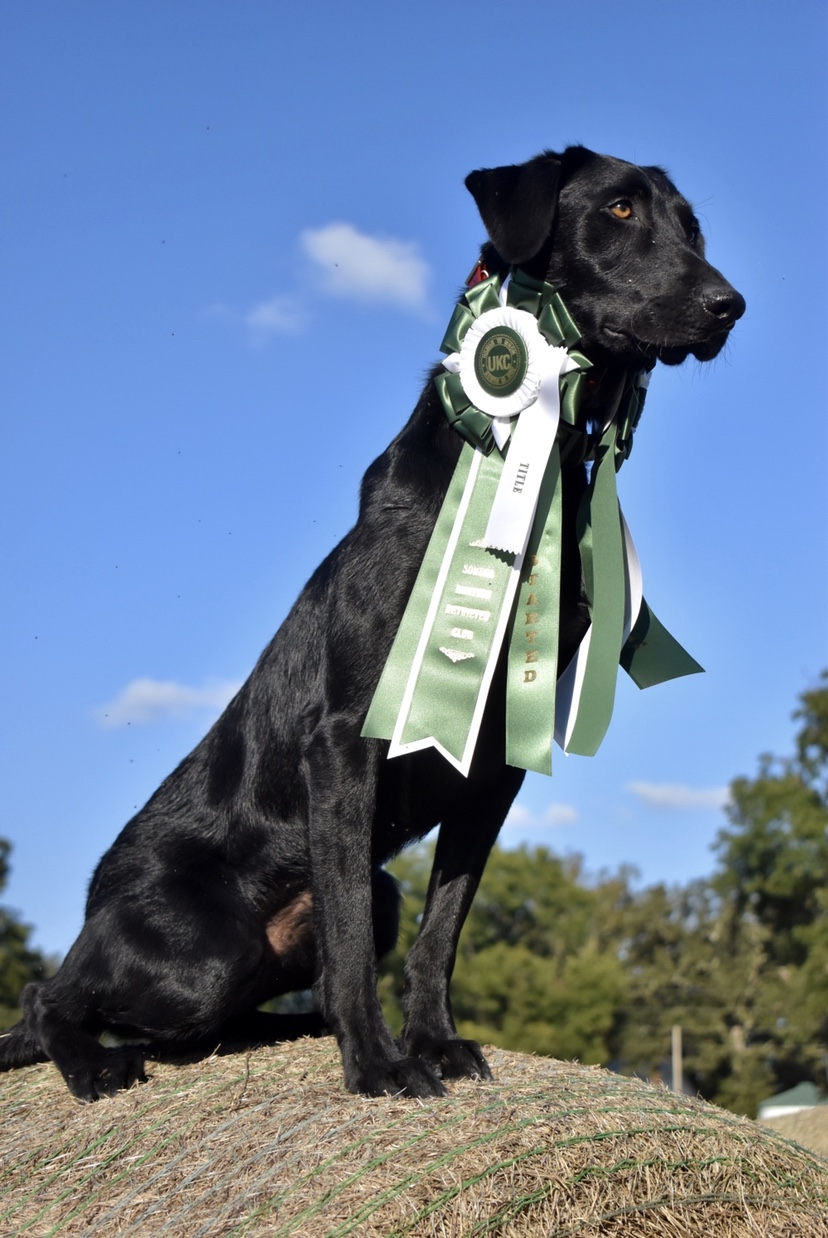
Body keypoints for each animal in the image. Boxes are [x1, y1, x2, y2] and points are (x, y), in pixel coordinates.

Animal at [0, 147, 747, 1104]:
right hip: (198, 953)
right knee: (50, 997)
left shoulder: (495, 762)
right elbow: (350, 938)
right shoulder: (347, 741)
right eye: (619, 210)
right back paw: (96, 1060)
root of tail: (96, 905)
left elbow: (442, 928)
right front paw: (378, 1064)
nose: (728, 304)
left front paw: (434, 1042)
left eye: (692, 227)